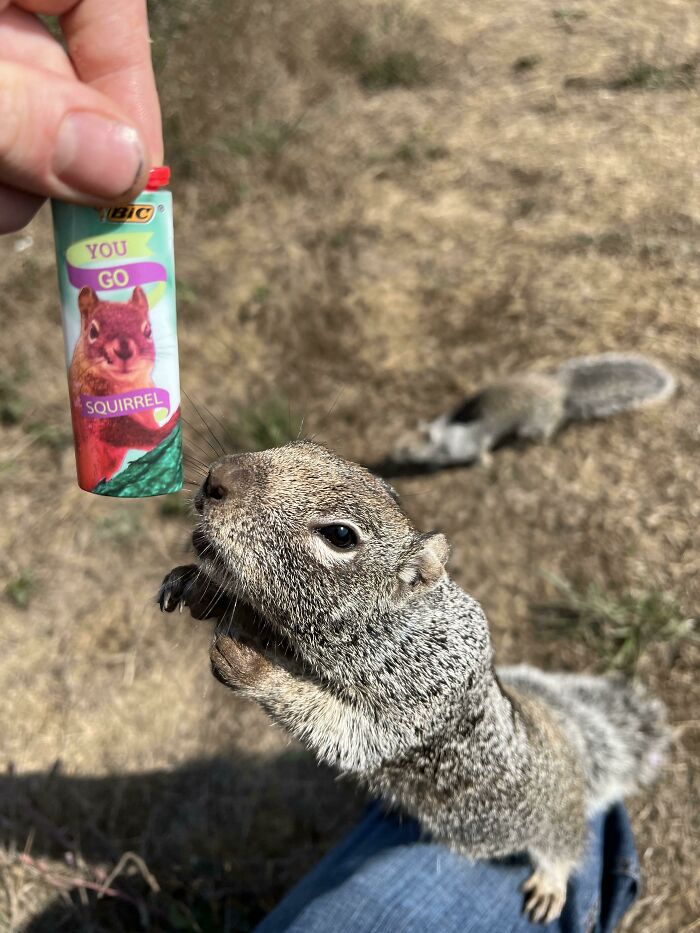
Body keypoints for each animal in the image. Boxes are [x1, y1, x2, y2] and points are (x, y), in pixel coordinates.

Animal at [68, 286, 179, 490]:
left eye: (148, 331)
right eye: (92, 331)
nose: (124, 350)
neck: (128, 387)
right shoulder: (93, 405)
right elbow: (124, 432)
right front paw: (164, 429)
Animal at [158, 441, 668, 924]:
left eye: (340, 535)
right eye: (304, 447)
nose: (217, 478)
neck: (386, 625)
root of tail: (573, 745)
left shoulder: (426, 691)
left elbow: (350, 732)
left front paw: (255, 670)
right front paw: (201, 588)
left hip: (553, 820)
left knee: (565, 847)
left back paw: (551, 880)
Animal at [390, 352, 677, 468]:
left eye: (406, 449)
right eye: (399, 442)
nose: (393, 456)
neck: (446, 437)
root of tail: (560, 389)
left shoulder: (472, 442)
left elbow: (480, 451)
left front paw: (485, 462)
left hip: (535, 424)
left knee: (544, 432)